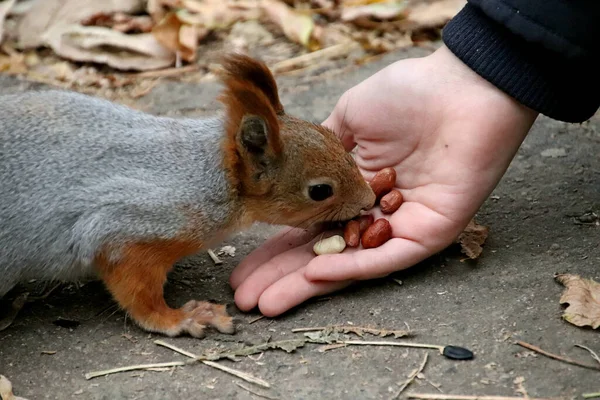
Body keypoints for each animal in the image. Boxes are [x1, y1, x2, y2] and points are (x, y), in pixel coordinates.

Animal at [0, 54, 376, 340]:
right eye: (320, 191)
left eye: (332, 136)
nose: (369, 200)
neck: (213, 178)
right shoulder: (128, 229)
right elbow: (139, 296)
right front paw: (183, 318)